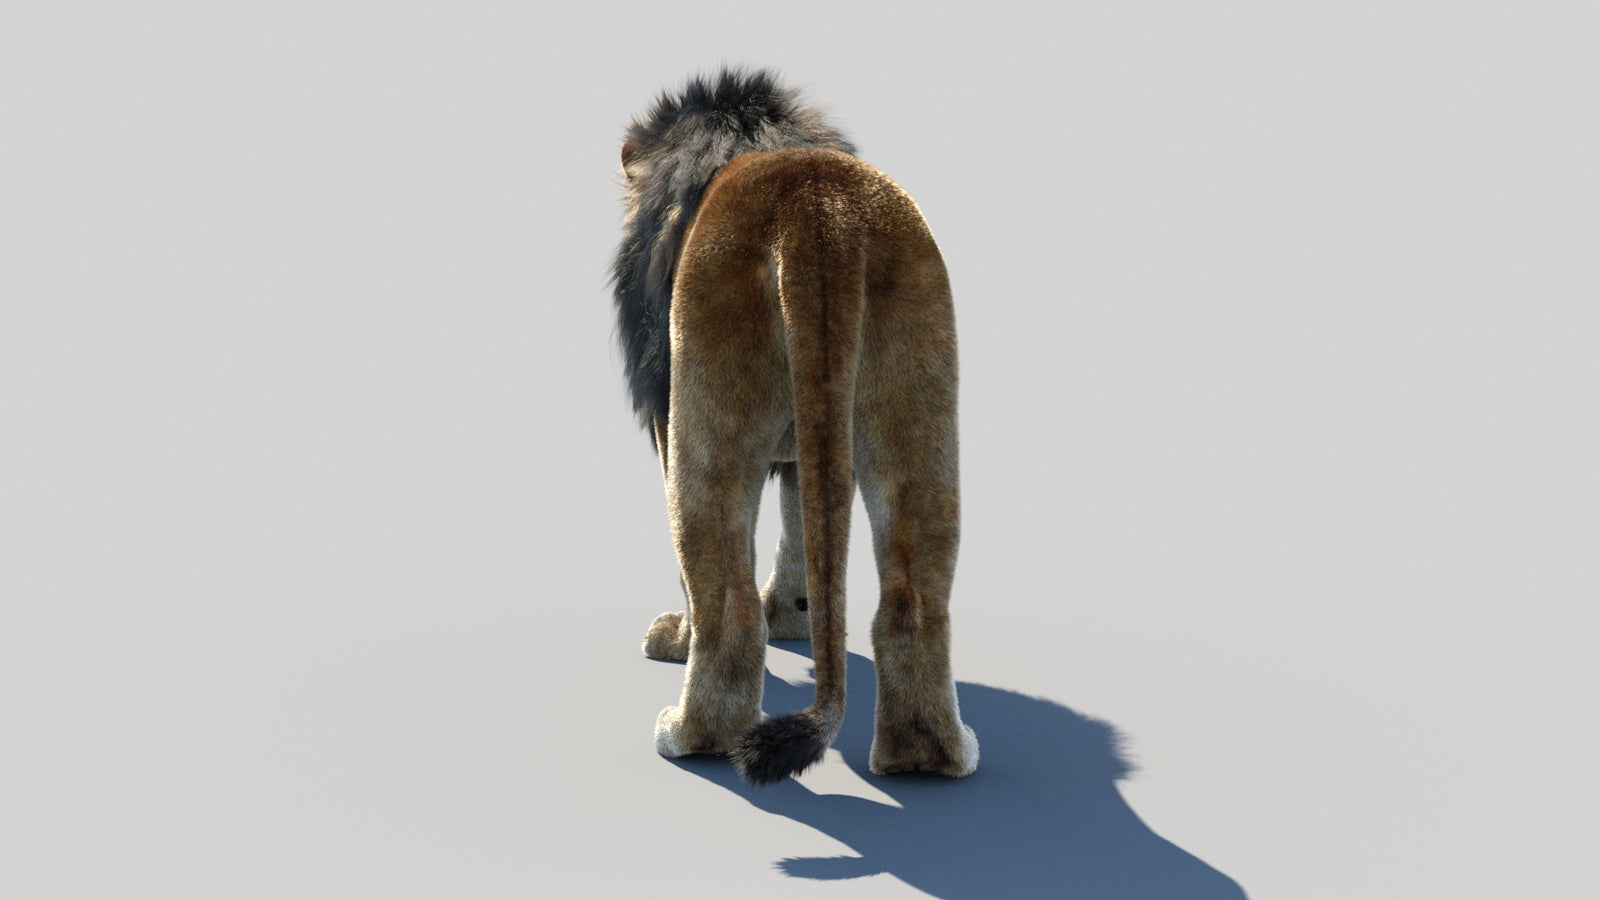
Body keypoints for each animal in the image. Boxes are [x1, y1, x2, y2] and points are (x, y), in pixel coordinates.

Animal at [611, 68, 978, 784]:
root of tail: (820, 220)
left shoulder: (665, 413)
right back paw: (927, 758)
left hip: (707, 414)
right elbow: (801, 530)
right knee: (914, 602)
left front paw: (682, 636)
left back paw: (690, 734)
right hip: (918, 406)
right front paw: (795, 617)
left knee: (727, 601)